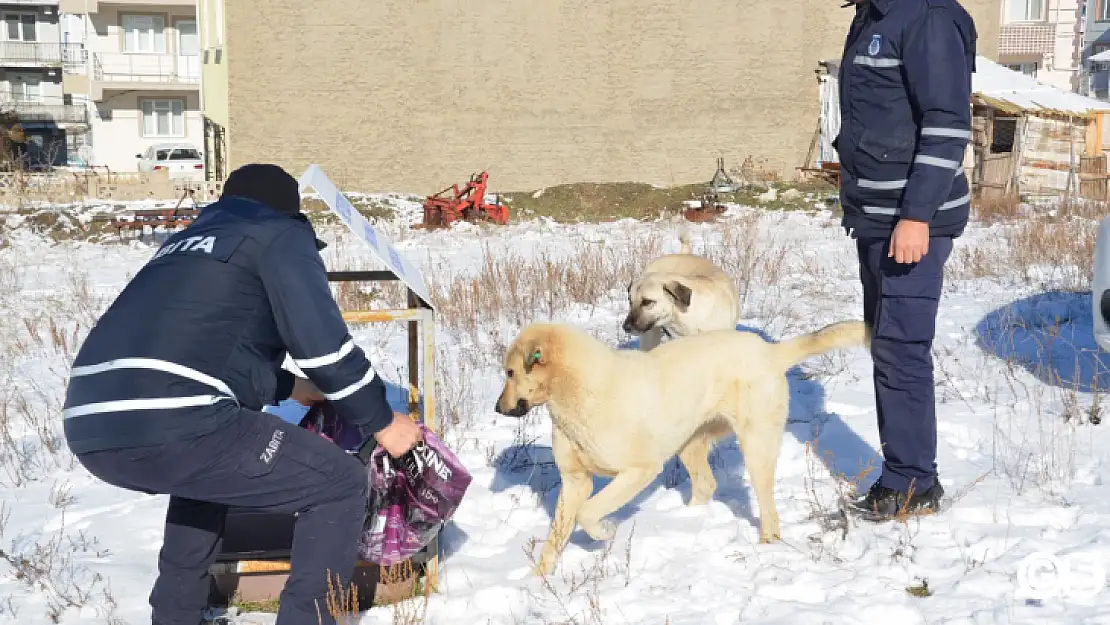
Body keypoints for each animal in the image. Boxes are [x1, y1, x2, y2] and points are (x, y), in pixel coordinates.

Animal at [492, 319, 865, 572]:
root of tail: (769, 350)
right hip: (690, 443)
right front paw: (537, 586)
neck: (576, 392)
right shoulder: (575, 481)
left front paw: (606, 531)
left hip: (756, 445)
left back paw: (767, 546)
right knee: (706, 484)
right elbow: (554, 539)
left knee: (768, 510)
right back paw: (687, 520)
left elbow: (589, 513)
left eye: (510, 372)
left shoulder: (639, 471)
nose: (497, 408)